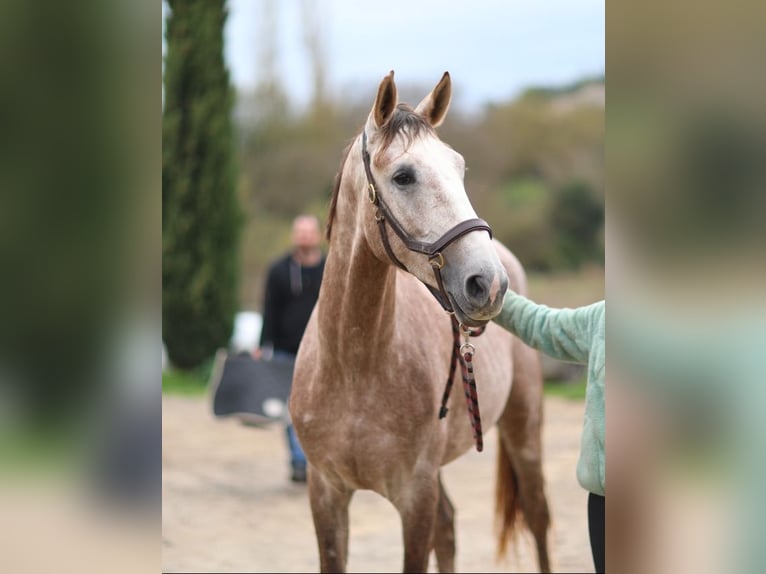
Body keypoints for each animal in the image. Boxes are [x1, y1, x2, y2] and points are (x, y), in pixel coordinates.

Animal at [292, 70, 552, 572]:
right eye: (404, 176)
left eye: (460, 168)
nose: (488, 283)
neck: (354, 366)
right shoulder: (326, 494)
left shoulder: (415, 496)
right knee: (449, 528)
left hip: (523, 431)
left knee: (537, 518)